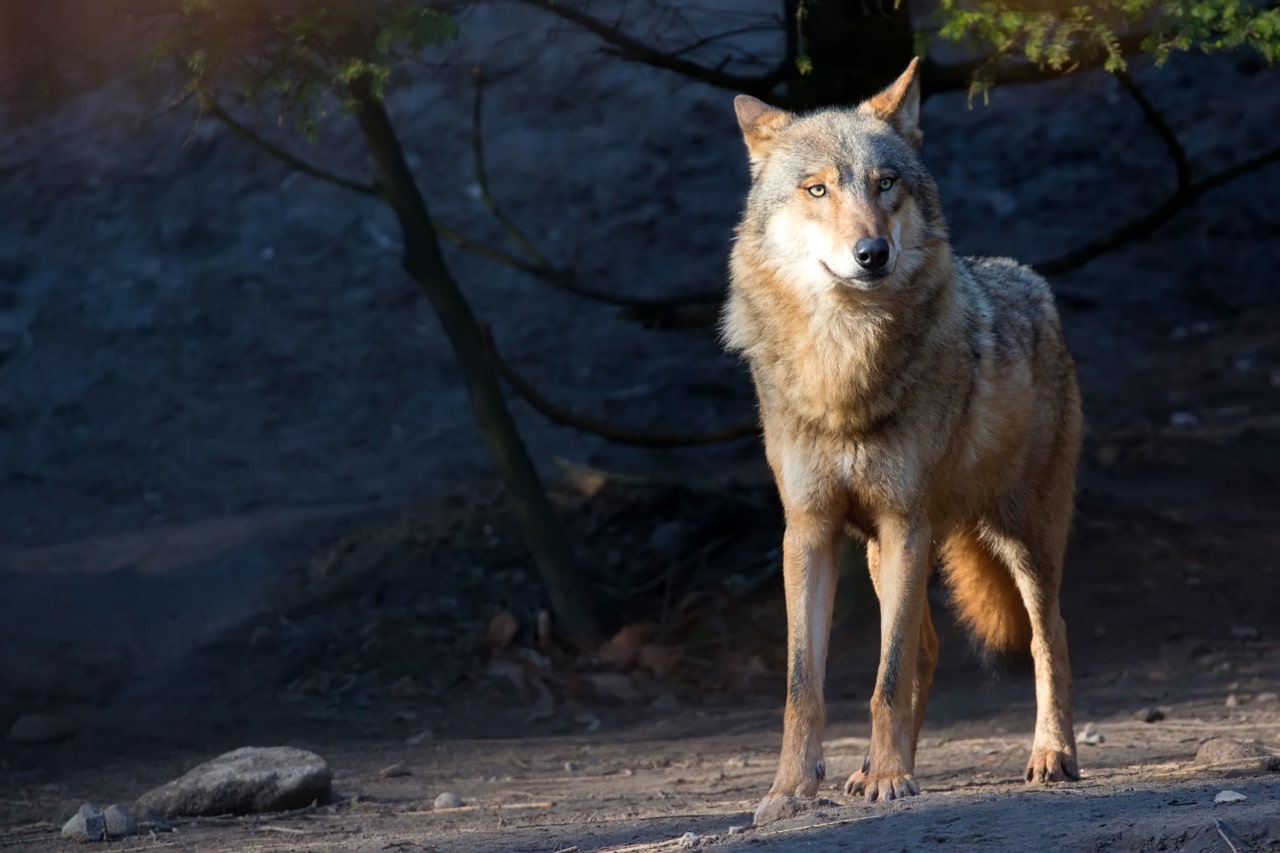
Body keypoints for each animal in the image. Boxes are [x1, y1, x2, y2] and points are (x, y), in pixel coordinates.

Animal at [721, 54, 1080, 824]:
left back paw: (1050, 755)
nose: (871, 253)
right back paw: (879, 771)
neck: (843, 363)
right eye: (818, 188)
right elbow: (804, 686)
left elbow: (884, 679)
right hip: (888, 555)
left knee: (1049, 637)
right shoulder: (810, 530)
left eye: (885, 183)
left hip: (1019, 539)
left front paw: (889, 777)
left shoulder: (903, 519)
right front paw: (791, 791)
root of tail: (1028, 280)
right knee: (927, 648)